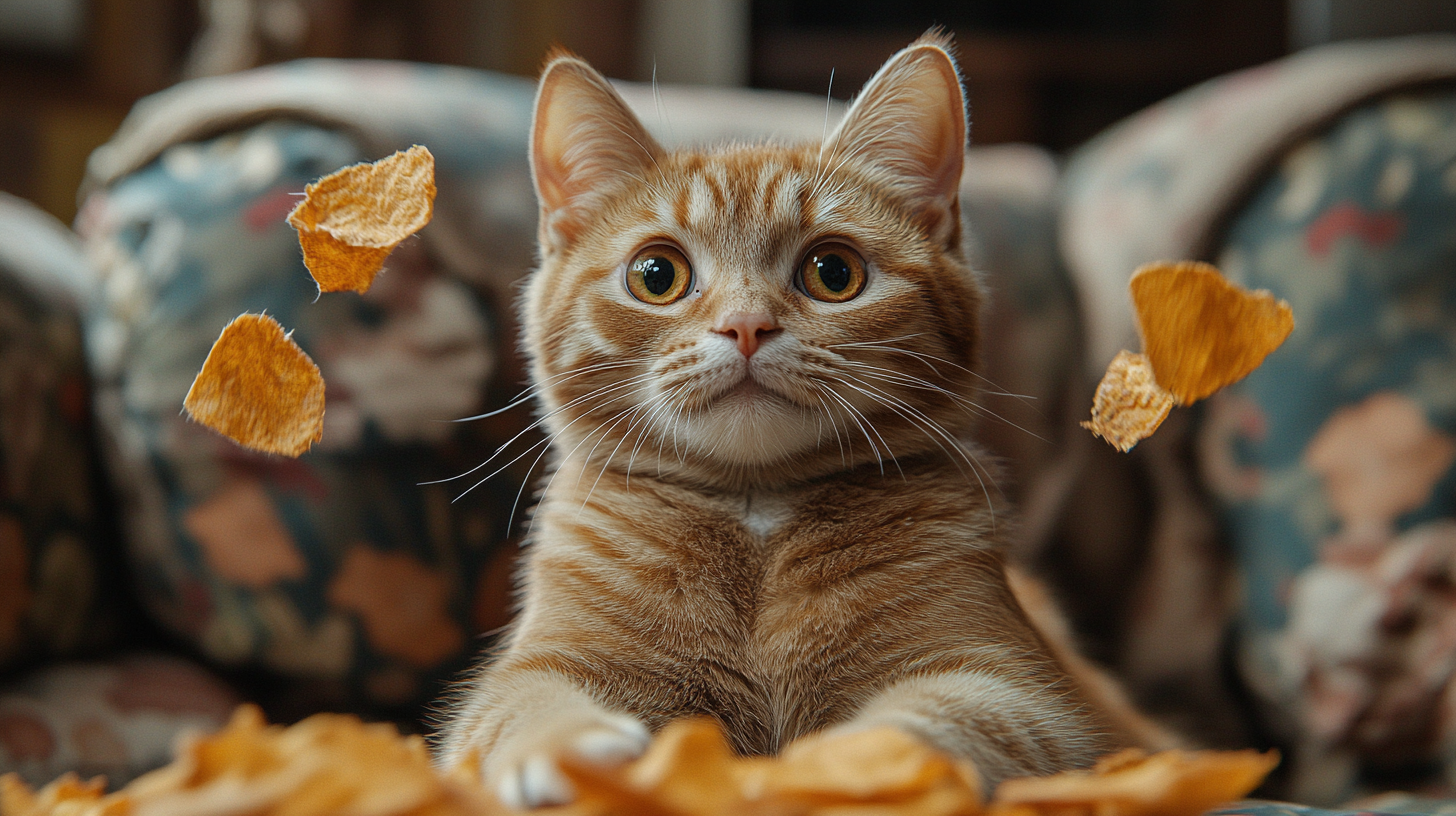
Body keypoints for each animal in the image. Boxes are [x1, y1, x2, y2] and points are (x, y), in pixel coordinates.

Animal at [433, 33, 1135, 810]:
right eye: (657, 275)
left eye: (834, 273)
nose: (746, 325)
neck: (757, 515)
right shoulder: (536, 669)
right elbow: (524, 706)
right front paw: (568, 754)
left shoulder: (1020, 690)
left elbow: (935, 724)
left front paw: (829, 771)